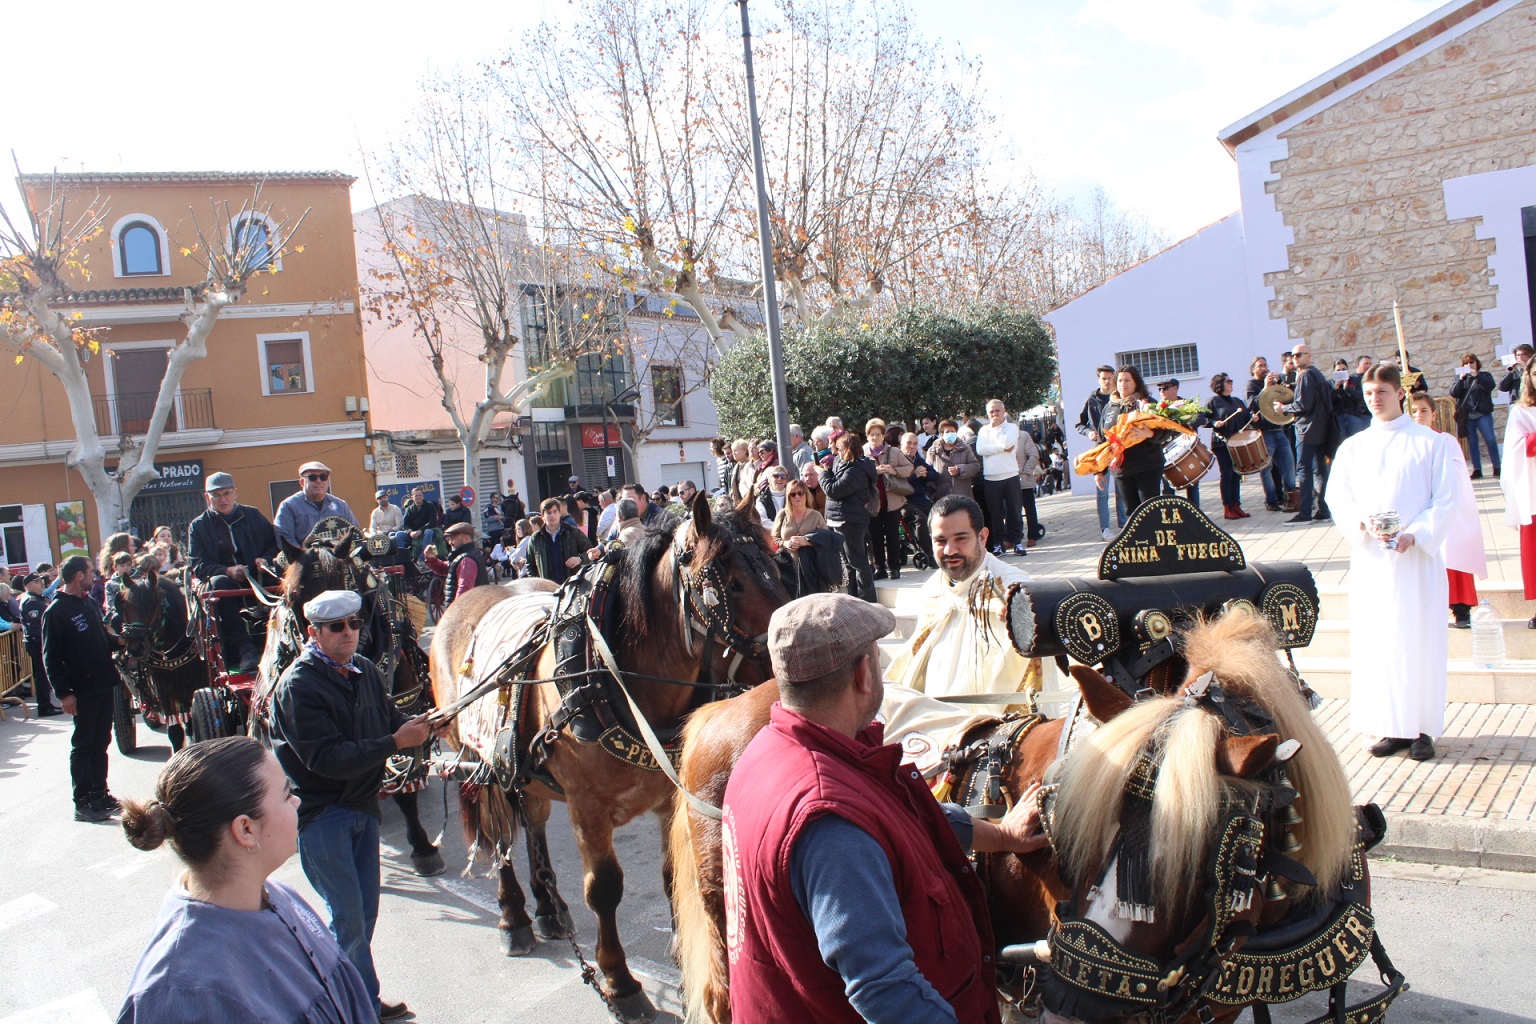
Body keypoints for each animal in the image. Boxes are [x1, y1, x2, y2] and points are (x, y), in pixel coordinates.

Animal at [433, 491, 792, 1019]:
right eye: (731, 583)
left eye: (776, 569)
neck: (616, 676)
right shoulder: (588, 808)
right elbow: (603, 890)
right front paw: (620, 982)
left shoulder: (668, 800)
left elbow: (671, 876)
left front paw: (682, 959)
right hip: (474, 760)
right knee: (499, 835)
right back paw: (514, 916)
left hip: (524, 770)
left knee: (533, 819)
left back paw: (548, 908)